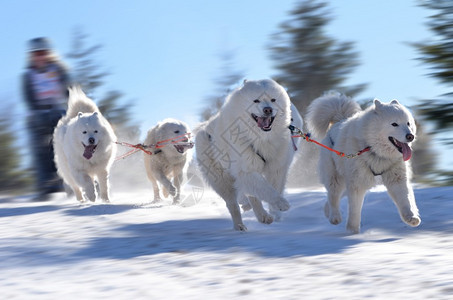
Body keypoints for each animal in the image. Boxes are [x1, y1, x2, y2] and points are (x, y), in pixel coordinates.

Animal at [306, 92, 418, 233]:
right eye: (394, 124)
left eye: (408, 123)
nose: (410, 136)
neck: (374, 150)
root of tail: (338, 120)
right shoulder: (357, 184)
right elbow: (355, 210)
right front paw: (352, 230)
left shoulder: (397, 179)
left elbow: (405, 200)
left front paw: (411, 218)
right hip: (335, 177)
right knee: (333, 196)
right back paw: (334, 217)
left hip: (347, 181)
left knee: (334, 198)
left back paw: (327, 212)